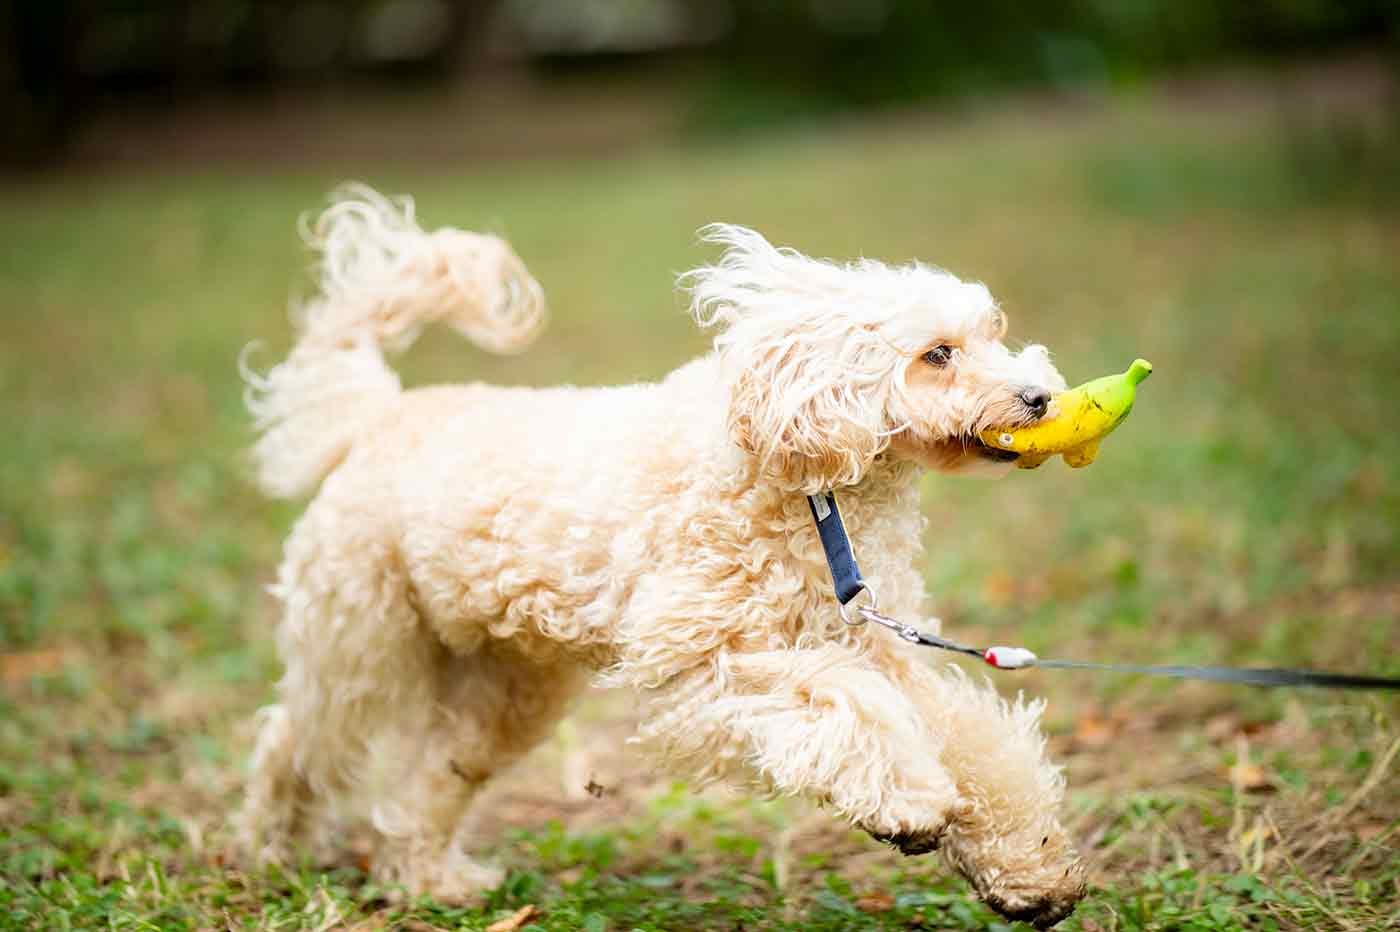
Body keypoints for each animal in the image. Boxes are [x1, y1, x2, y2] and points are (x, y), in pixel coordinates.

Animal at [240, 183, 1086, 923]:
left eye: (994, 331)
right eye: (938, 355)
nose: (1039, 396)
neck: (810, 491)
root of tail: (379, 415)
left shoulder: (881, 648)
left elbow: (975, 744)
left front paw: (1032, 871)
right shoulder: (701, 657)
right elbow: (841, 702)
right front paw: (908, 802)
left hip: (505, 686)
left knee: (433, 774)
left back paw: (430, 880)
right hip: (361, 638)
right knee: (297, 743)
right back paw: (271, 849)